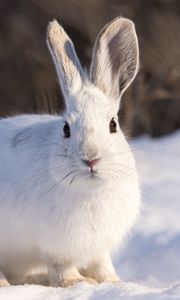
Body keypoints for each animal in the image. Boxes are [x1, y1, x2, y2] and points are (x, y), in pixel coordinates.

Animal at [0, 17, 141, 288]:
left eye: (113, 125)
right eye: (66, 128)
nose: (91, 159)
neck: (91, 191)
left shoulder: (99, 248)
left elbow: (101, 264)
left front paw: (113, 282)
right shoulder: (58, 247)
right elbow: (61, 267)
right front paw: (77, 282)